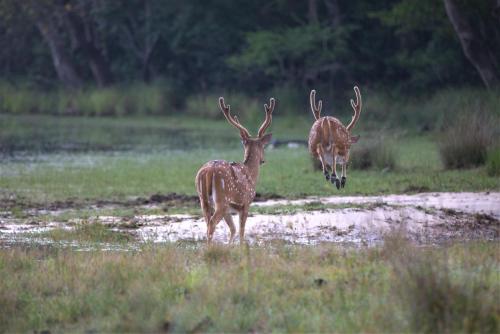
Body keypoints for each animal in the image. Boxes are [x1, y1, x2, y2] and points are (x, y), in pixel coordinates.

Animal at [195, 95, 276, 244]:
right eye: (263, 146)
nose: (263, 160)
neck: (251, 175)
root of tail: (207, 171)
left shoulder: (229, 209)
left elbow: (233, 230)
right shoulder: (246, 203)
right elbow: (242, 231)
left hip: (203, 199)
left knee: (207, 222)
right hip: (221, 199)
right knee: (212, 223)